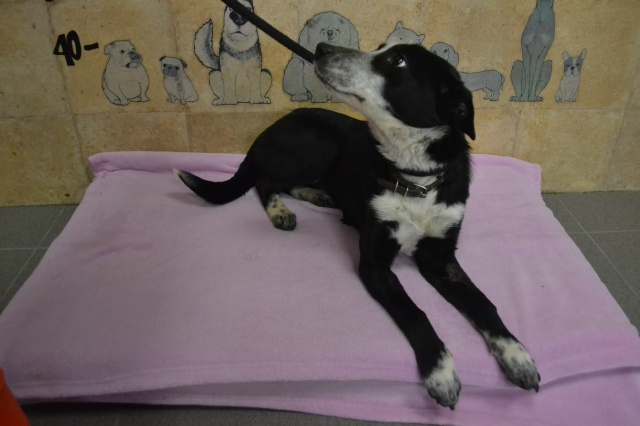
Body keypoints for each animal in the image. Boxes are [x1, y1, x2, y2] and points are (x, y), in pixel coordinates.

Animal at [176, 42, 540, 409]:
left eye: (397, 60)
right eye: (381, 47)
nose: (321, 48)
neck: (416, 181)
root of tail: (270, 128)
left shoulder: (441, 258)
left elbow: (483, 303)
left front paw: (517, 354)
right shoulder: (375, 263)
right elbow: (415, 313)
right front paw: (441, 373)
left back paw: (316, 195)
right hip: (317, 145)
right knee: (264, 182)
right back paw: (280, 211)